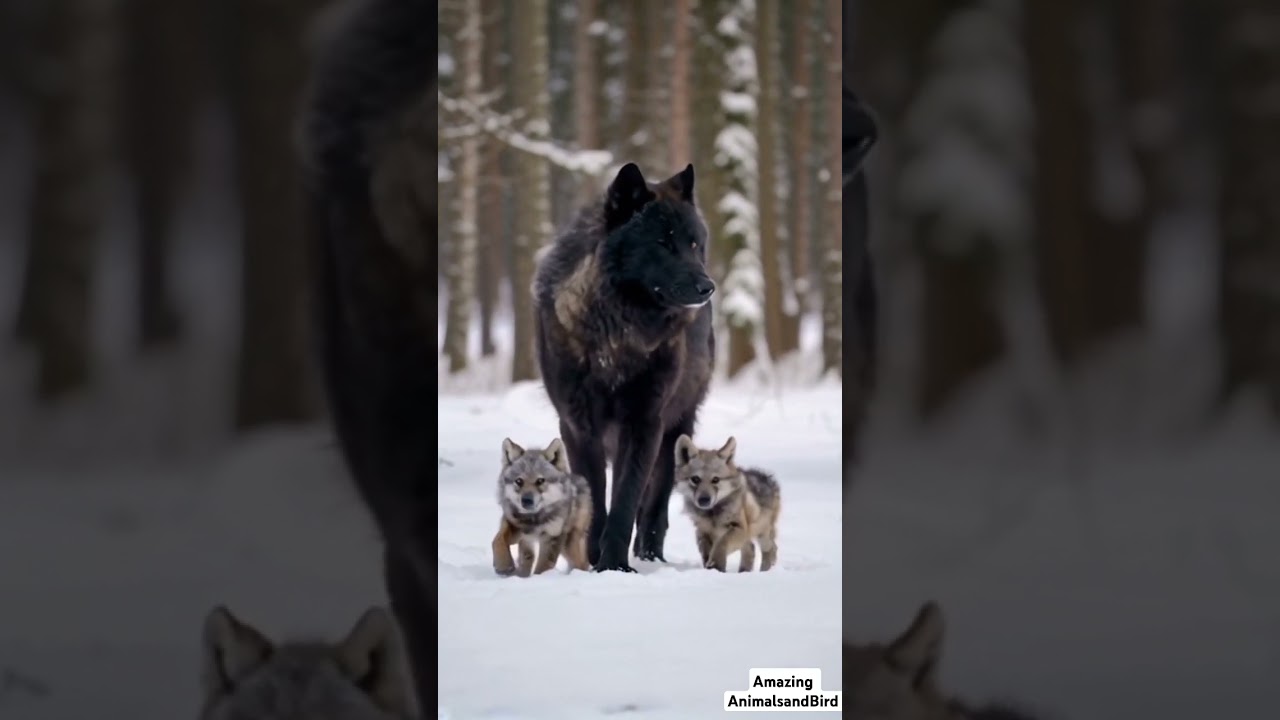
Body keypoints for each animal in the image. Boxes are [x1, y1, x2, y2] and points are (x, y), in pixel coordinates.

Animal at [491, 437, 593, 576]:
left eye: (540, 481)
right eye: (519, 481)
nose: (526, 500)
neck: (534, 519)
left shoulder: (552, 537)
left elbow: (543, 566)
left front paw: (540, 578)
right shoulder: (515, 526)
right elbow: (497, 540)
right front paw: (503, 565)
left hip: (570, 544)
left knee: (581, 563)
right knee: (528, 558)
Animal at [533, 162, 716, 572]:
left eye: (694, 244)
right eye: (663, 243)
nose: (707, 287)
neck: (616, 336)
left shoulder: (644, 423)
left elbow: (625, 503)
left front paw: (615, 566)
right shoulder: (577, 426)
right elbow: (596, 502)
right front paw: (592, 561)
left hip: (676, 433)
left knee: (654, 508)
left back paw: (651, 556)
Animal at [672, 434, 782, 572]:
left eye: (715, 479)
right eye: (695, 479)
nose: (704, 500)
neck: (713, 514)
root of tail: (767, 477)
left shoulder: (738, 528)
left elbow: (721, 545)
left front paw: (716, 565)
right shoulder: (702, 532)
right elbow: (707, 552)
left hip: (763, 533)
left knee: (771, 548)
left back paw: (765, 571)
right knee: (751, 548)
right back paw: (743, 572)